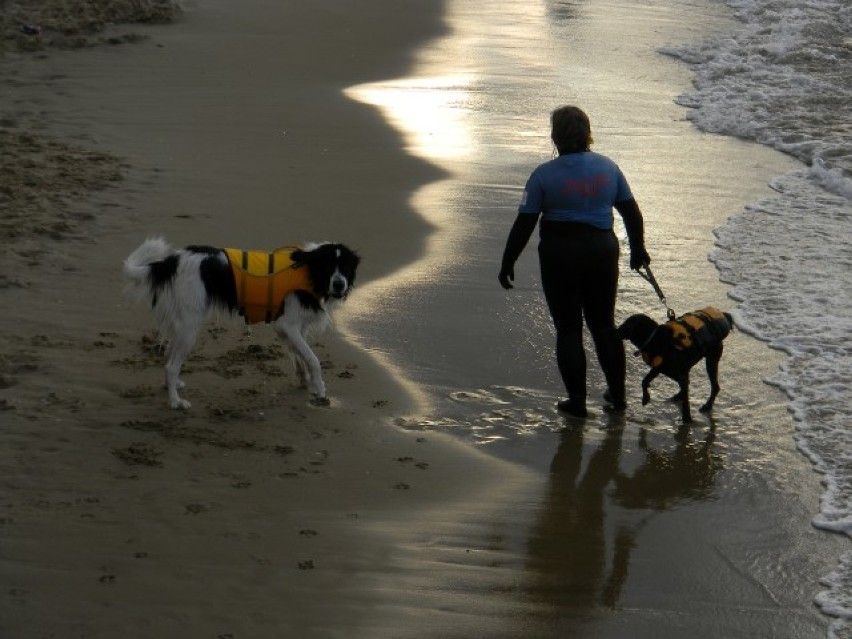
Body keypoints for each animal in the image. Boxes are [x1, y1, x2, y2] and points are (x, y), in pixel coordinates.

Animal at [123, 236, 360, 410]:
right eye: (328, 266)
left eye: (346, 267)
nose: (339, 284)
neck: (307, 269)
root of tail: (172, 260)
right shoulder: (287, 325)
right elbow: (313, 359)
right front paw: (320, 390)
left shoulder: (292, 329)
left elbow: (300, 356)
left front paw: (306, 381)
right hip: (189, 328)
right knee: (171, 365)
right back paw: (175, 401)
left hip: (183, 324)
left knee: (168, 356)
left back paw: (171, 387)